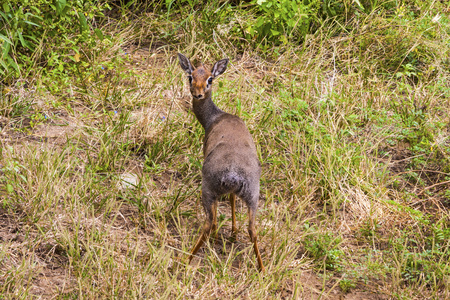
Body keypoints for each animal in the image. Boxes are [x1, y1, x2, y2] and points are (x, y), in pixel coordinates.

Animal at [178, 52, 264, 270]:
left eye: (210, 79)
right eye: (190, 76)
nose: (198, 94)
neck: (215, 117)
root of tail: (233, 174)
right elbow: (232, 200)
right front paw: (233, 233)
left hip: (207, 190)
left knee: (209, 223)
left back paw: (185, 260)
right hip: (253, 196)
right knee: (253, 229)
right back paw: (262, 269)